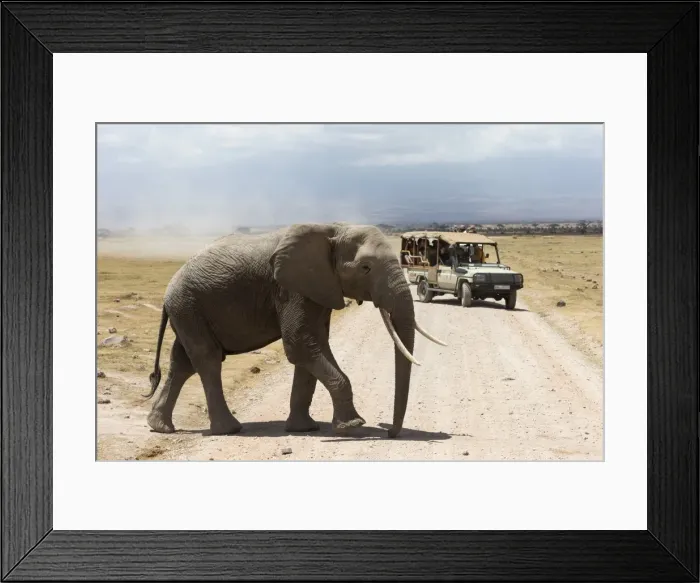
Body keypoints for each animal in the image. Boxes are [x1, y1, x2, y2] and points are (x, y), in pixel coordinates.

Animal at [144, 222, 445, 438]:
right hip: (188, 305)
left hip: (188, 310)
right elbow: (300, 344)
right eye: (366, 267)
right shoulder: (290, 288)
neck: (334, 229)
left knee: (183, 363)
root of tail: (168, 295)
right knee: (207, 359)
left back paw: (160, 427)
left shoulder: (319, 288)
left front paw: (305, 429)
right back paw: (230, 429)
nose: (391, 433)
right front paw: (353, 426)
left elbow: (314, 345)